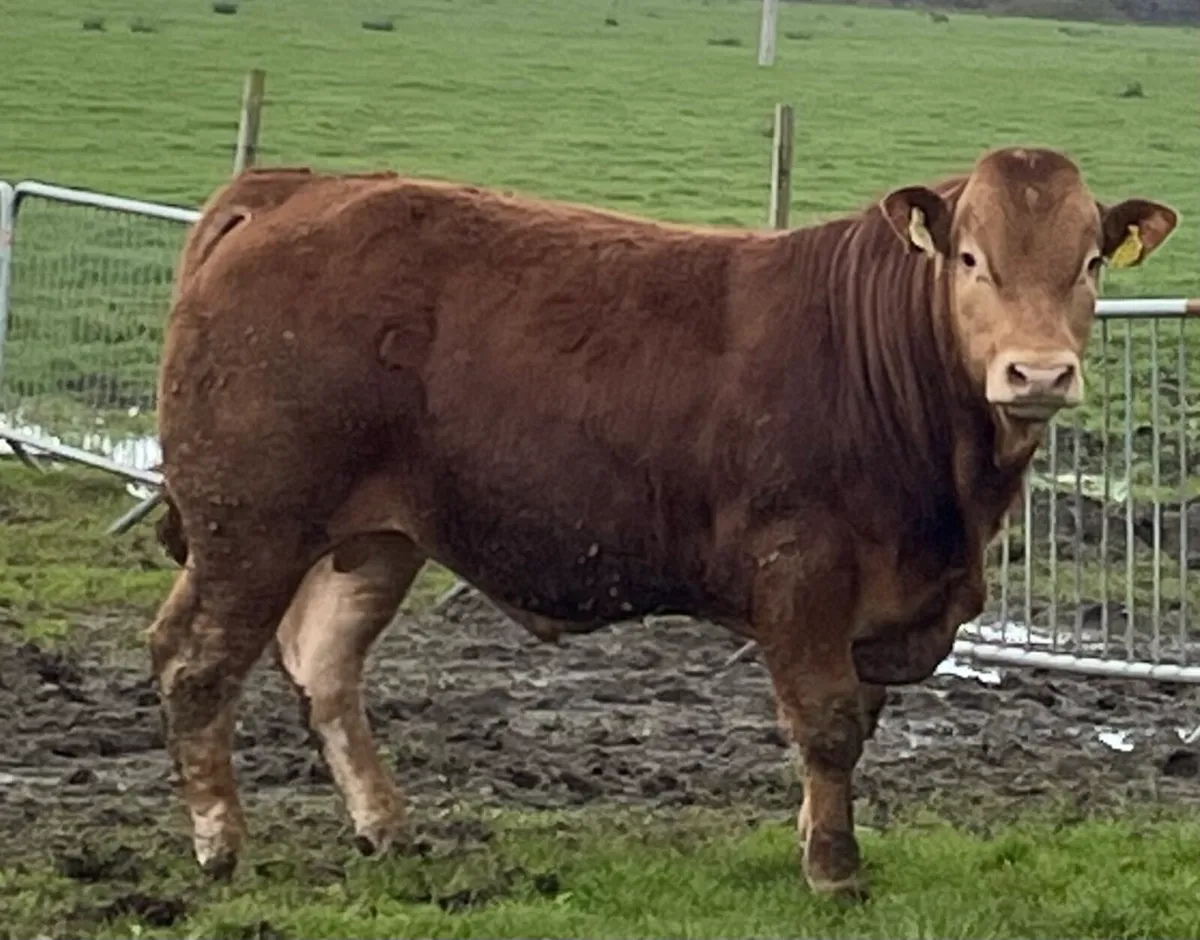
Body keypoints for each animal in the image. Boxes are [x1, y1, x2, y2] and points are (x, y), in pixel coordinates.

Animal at [147, 147, 1177, 900]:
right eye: (970, 258)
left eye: (1089, 263)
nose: (1038, 372)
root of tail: (293, 188)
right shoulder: (801, 569)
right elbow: (828, 724)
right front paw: (835, 874)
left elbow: (853, 723)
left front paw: (815, 837)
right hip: (251, 526)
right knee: (195, 664)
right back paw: (219, 848)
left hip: (375, 540)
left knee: (324, 666)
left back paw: (386, 830)